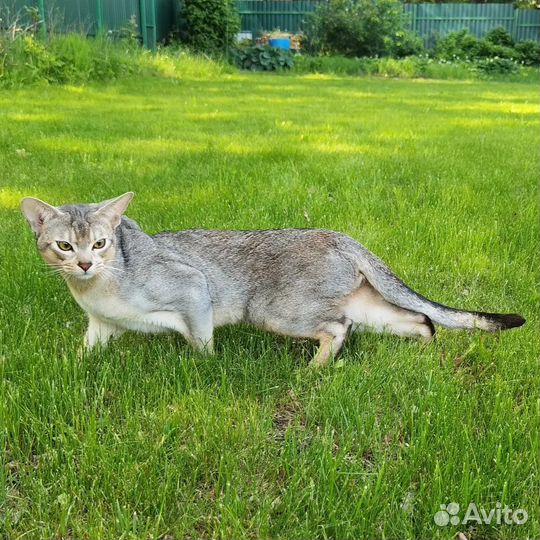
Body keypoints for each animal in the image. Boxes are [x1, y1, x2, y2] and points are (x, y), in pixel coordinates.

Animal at [20, 192, 524, 364]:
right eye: (64, 247)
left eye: (100, 244)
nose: (85, 265)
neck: (98, 289)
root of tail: (342, 236)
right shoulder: (101, 326)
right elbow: (83, 353)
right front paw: (69, 369)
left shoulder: (193, 289)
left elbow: (201, 344)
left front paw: (207, 369)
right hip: (363, 303)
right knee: (422, 319)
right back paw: (425, 354)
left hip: (276, 311)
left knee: (339, 327)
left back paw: (317, 369)